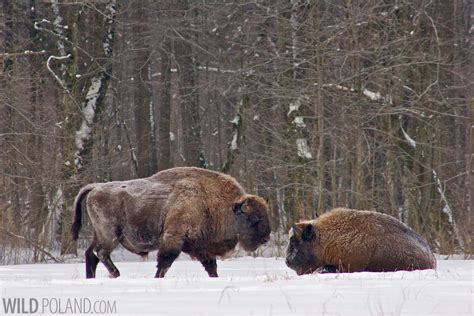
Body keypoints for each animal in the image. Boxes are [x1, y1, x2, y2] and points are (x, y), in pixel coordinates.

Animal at [70, 167, 270, 278]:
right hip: (110, 235)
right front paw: (157, 277)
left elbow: (211, 267)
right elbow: (165, 261)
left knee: (91, 255)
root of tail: (95, 187)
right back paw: (116, 274)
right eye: (254, 218)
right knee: (100, 253)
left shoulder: (203, 248)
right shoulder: (174, 238)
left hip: (99, 234)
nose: (266, 238)